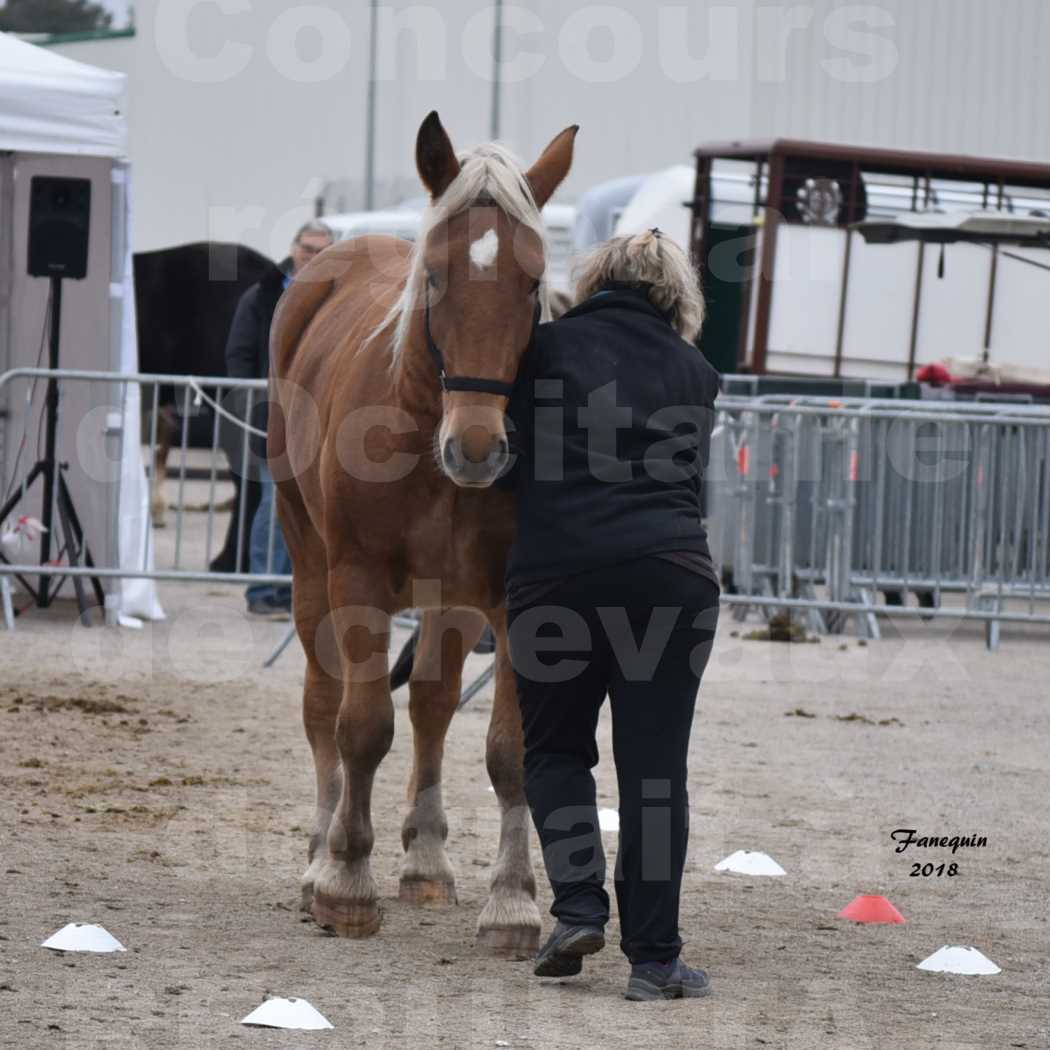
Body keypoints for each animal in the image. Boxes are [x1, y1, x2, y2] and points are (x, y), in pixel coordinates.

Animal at [266, 112, 579, 953]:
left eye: (532, 283)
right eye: (435, 277)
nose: (477, 448)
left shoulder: (510, 600)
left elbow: (509, 752)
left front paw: (512, 902)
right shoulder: (359, 581)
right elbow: (362, 728)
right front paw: (345, 883)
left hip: (452, 599)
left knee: (434, 704)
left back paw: (426, 862)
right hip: (311, 568)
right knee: (323, 705)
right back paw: (318, 856)